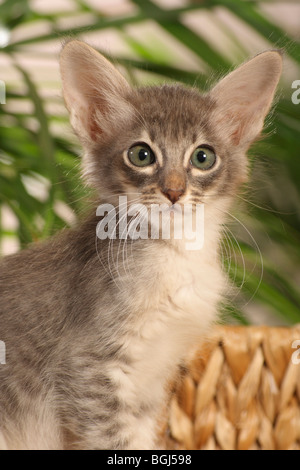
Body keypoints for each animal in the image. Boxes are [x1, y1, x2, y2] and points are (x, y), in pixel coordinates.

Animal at [0, 42, 282, 450]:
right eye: (141, 155)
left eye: (203, 157)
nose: (174, 191)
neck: (176, 256)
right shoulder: (87, 370)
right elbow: (118, 441)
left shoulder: (151, 383)